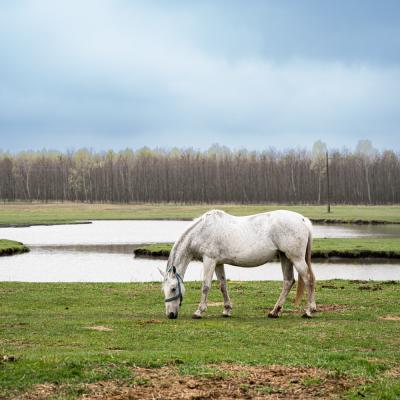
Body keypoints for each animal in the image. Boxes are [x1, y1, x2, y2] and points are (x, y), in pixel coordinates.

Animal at [159, 209, 316, 318]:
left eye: (173, 288)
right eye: (164, 290)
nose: (170, 315)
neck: (202, 231)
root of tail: (303, 220)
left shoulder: (209, 260)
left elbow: (206, 286)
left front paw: (199, 311)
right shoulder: (218, 263)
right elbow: (223, 285)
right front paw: (226, 310)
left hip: (296, 258)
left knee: (308, 279)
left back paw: (309, 311)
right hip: (285, 257)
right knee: (288, 281)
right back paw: (274, 312)